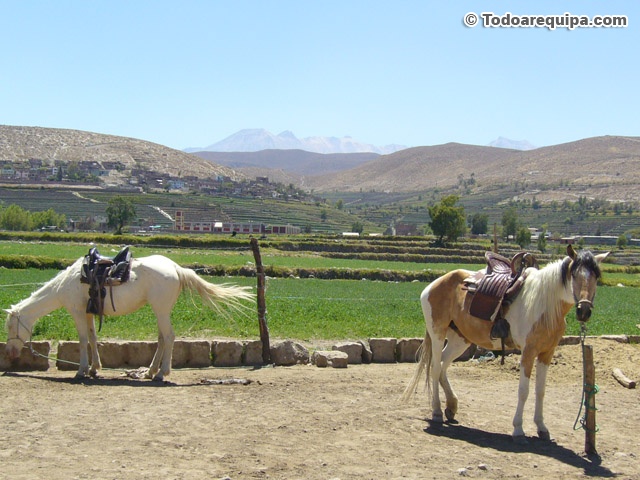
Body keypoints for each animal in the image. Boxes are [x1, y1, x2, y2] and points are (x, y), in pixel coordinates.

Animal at [5, 254, 255, 381]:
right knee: (162, 338)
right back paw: (151, 371)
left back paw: (161, 373)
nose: (9, 353)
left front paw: (81, 370)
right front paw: (95, 368)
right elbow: (93, 338)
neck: (67, 283)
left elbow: (83, 340)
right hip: (160, 311)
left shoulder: (76, 311)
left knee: (169, 337)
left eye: (9, 327)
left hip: (161, 310)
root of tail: (176, 268)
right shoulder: (88, 312)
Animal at [402, 245, 609, 442]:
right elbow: (524, 391)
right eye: (574, 274)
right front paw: (518, 430)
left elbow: (540, 391)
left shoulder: (546, 353)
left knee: (443, 365)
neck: (543, 305)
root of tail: (434, 284)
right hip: (437, 333)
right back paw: (437, 411)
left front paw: (542, 428)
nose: (584, 310)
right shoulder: (528, 352)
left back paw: (451, 407)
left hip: (460, 339)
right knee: (436, 367)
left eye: (597, 276)